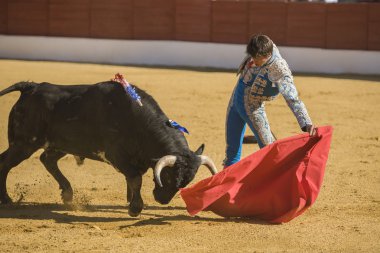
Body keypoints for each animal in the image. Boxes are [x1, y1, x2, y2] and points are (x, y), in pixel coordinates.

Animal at [0, 80, 217, 215]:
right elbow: (135, 179)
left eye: (186, 182)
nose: (162, 200)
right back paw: (7, 199)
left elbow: (132, 180)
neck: (137, 121)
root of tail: (31, 87)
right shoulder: (116, 155)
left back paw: (68, 194)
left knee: (47, 160)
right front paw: (135, 208)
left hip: (58, 144)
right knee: (6, 164)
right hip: (24, 143)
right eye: (170, 176)